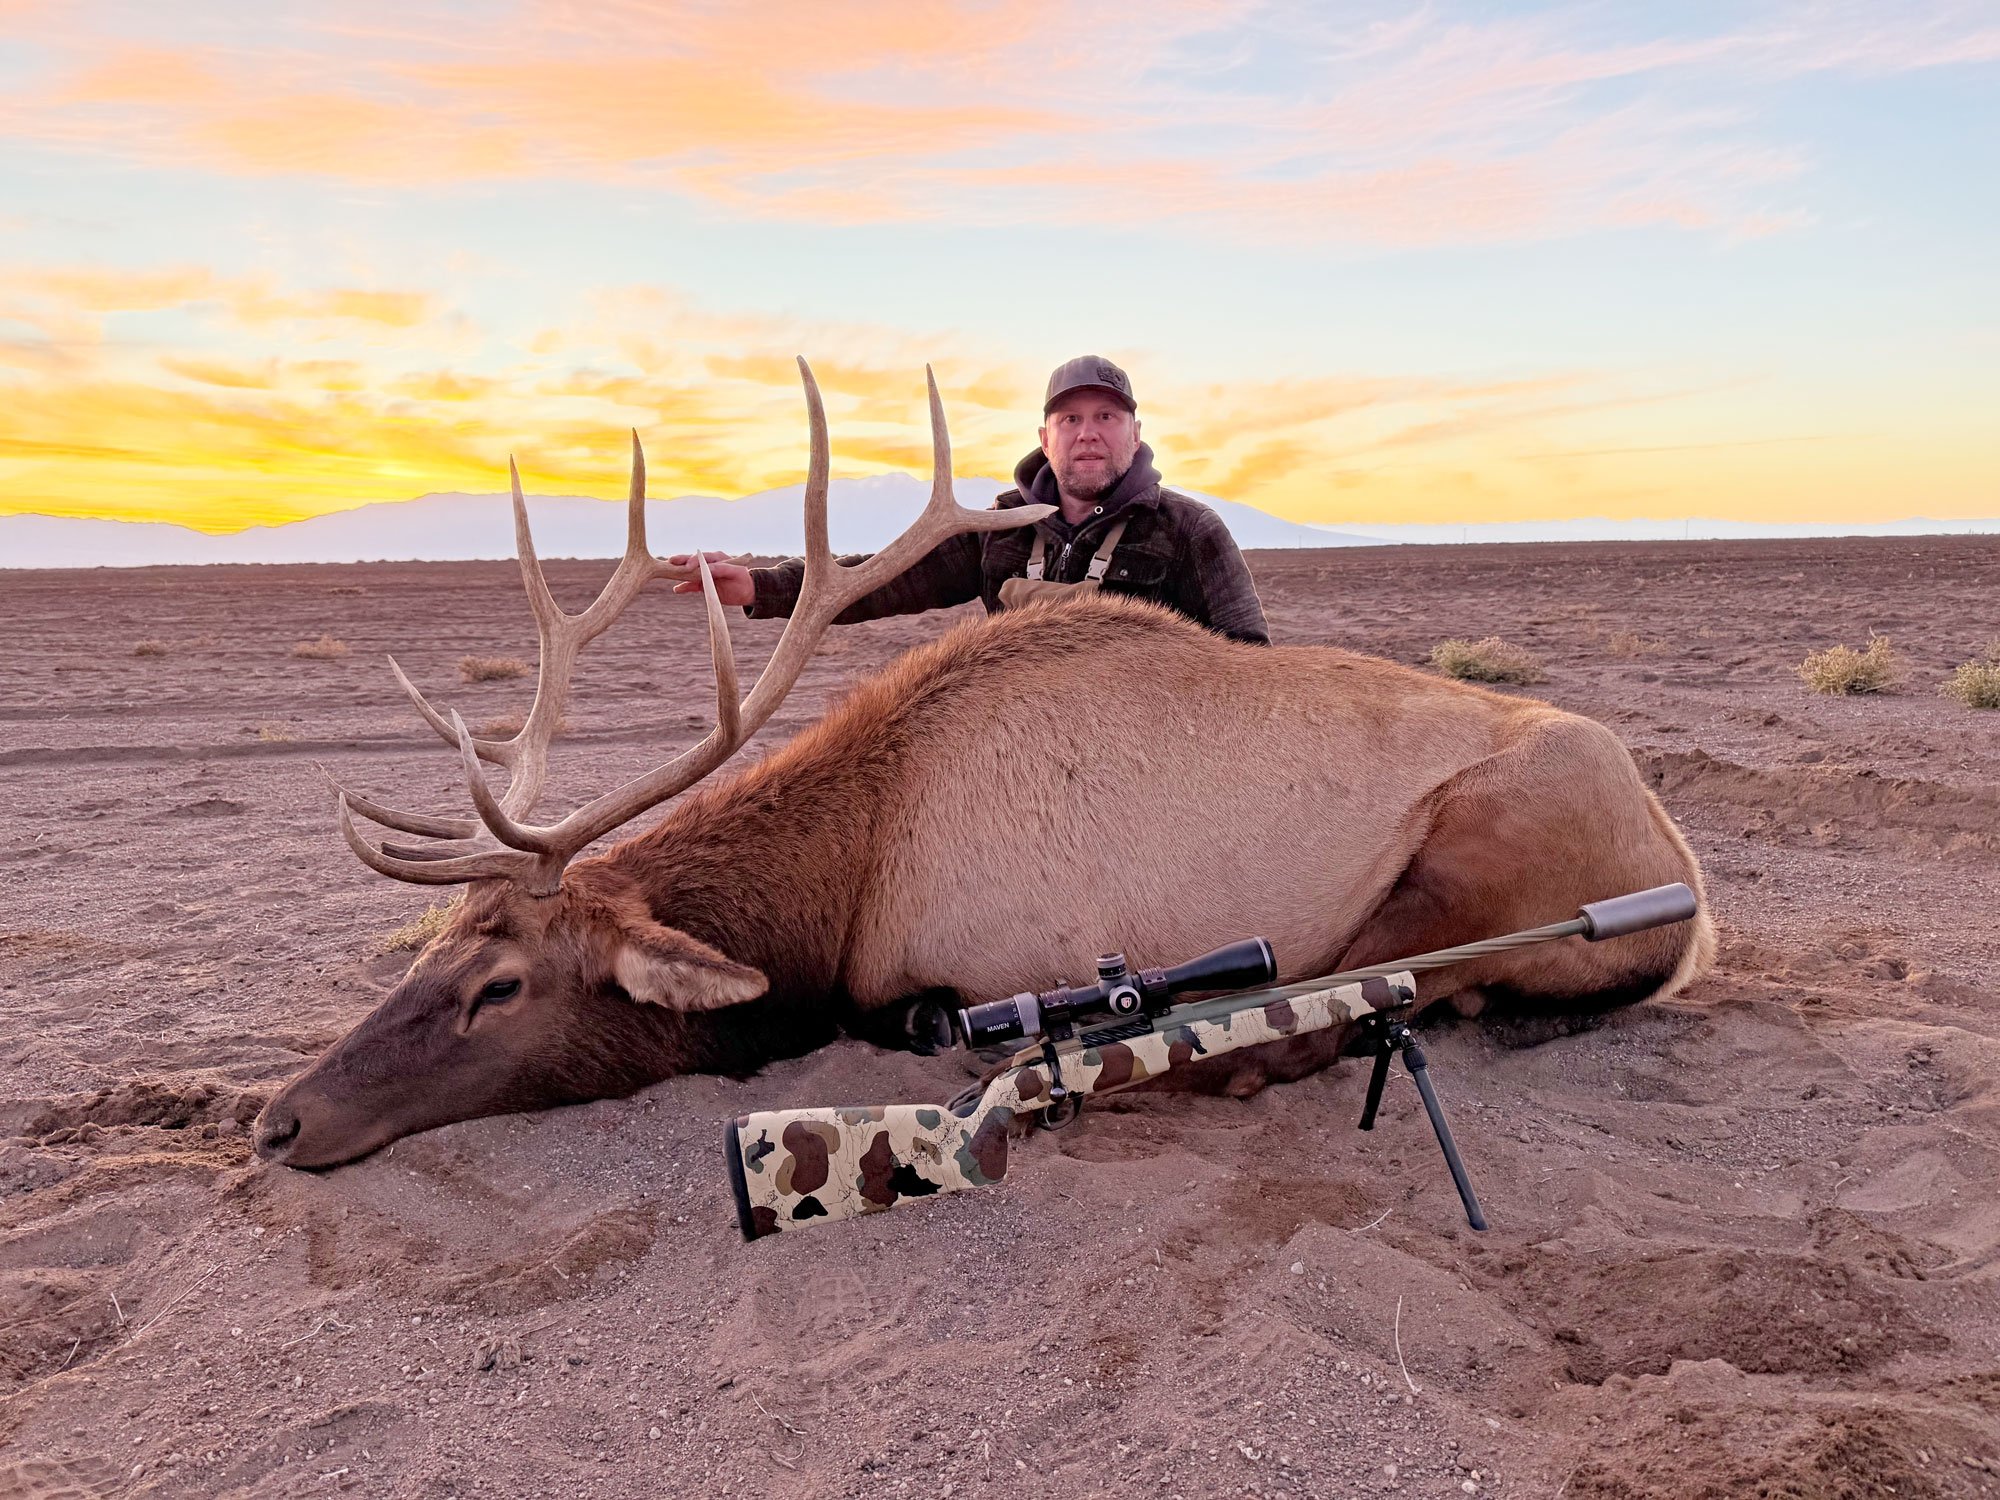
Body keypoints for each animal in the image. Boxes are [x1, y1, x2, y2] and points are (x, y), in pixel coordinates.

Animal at [254, 360, 1714, 1169]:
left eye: (499, 986)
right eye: (434, 946)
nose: (277, 1120)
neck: (848, 875)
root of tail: (1690, 889)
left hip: (1476, 847)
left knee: (1355, 1006)